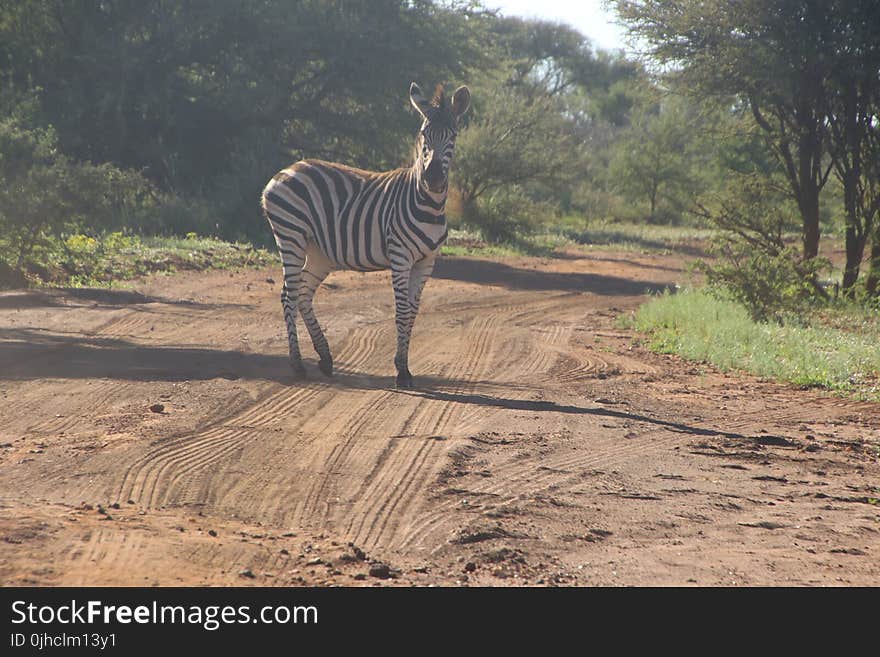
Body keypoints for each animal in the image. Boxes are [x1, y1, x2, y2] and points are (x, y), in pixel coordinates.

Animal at [260, 82, 470, 390]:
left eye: (452, 135)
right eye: (424, 135)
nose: (432, 179)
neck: (428, 205)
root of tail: (287, 169)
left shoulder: (427, 262)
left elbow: (413, 313)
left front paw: (404, 367)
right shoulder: (400, 257)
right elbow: (402, 312)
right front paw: (401, 372)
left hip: (319, 252)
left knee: (303, 294)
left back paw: (325, 358)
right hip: (290, 236)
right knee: (289, 295)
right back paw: (297, 364)